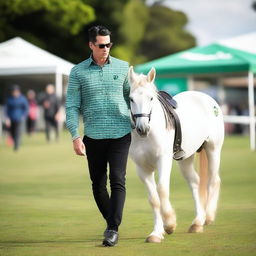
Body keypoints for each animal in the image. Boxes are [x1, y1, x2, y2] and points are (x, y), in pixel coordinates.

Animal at [128, 66, 224, 242]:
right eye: (131, 99)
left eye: (151, 98)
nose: (142, 128)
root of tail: (207, 98)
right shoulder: (142, 168)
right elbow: (154, 199)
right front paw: (156, 233)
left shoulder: (163, 161)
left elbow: (162, 190)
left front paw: (170, 224)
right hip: (185, 159)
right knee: (195, 182)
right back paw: (197, 222)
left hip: (213, 149)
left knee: (213, 181)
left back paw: (208, 216)